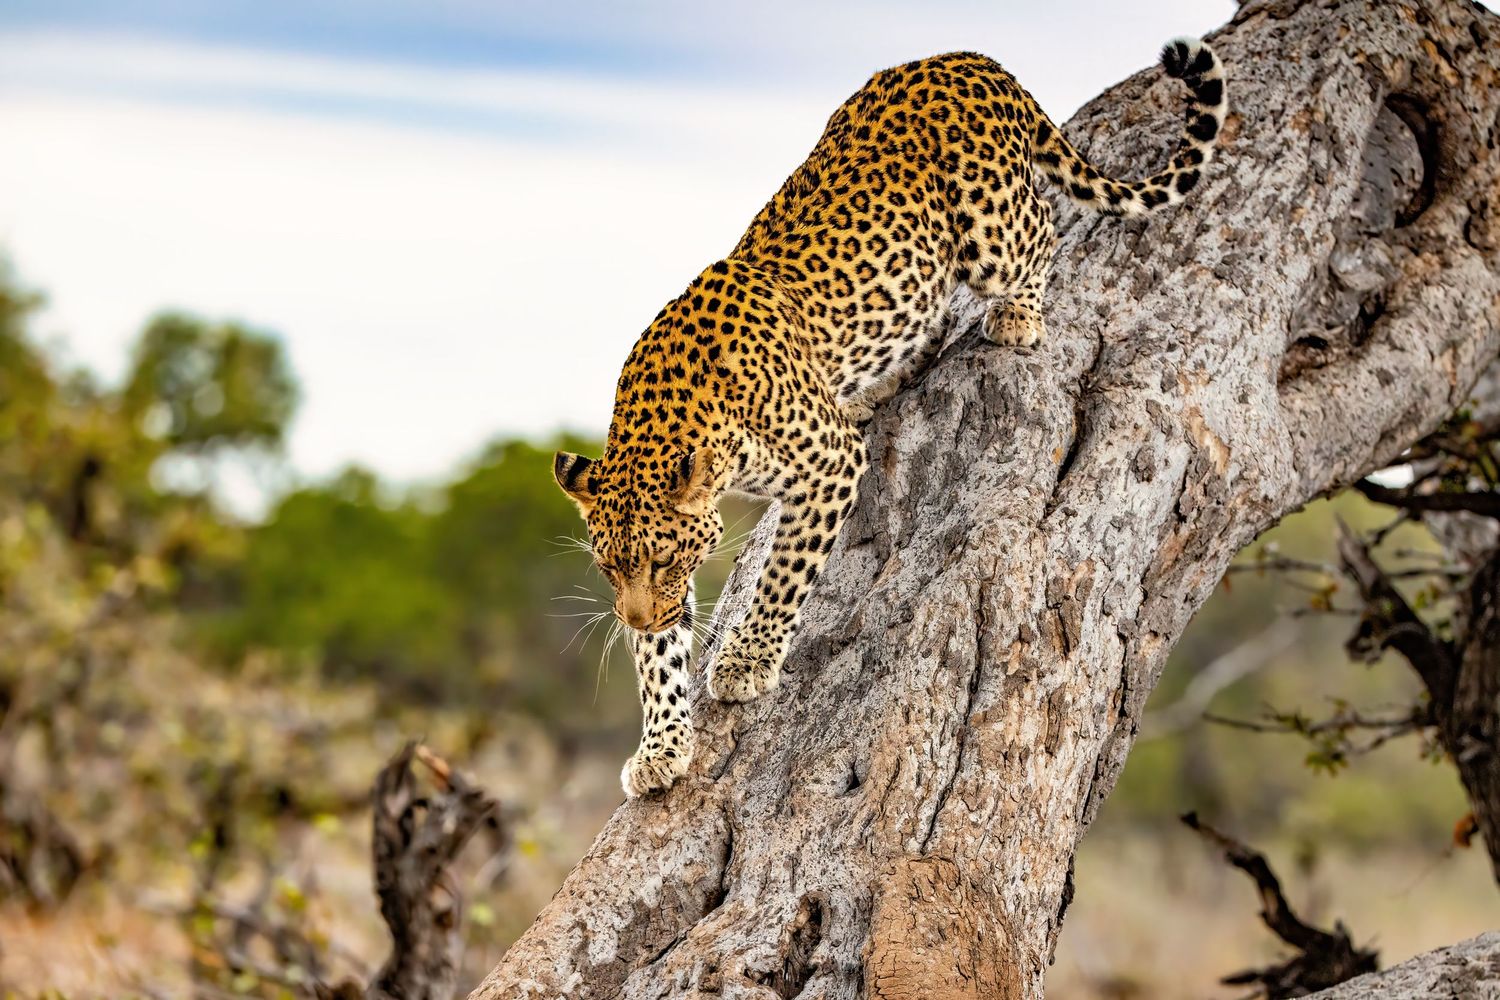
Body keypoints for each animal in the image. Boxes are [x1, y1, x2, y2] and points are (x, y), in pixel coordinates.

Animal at [554, 37, 1226, 797]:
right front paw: (662, 745)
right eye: (608, 568)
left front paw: (746, 661)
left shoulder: (827, 467)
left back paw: (1018, 315)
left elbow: (783, 575)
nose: (635, 617)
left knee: (1044, 231)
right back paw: (877, 383)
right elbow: (660, 662)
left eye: (662, 558)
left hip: (989, 227)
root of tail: (970, 58)